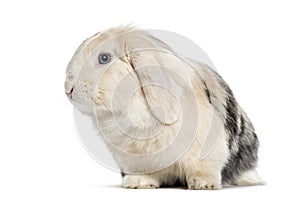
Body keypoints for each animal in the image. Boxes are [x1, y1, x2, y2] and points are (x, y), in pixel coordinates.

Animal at [65, 25, 262, 190]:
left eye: (104, 58)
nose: (68, 89)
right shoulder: (137, 160)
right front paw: (138, 183)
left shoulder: (208, 148)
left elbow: (204, 167)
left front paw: (203, 184)